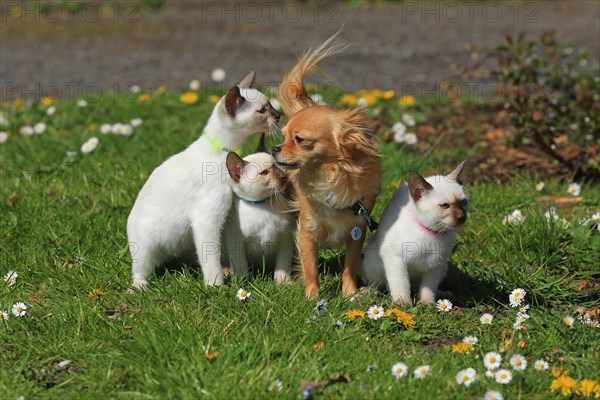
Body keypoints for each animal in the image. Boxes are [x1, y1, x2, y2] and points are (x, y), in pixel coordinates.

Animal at [127, 72, 282, 290]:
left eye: (270, 106)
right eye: (262, 111)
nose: (279, 115)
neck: (221, 150)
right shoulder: (206, 218)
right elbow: (212, 258)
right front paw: (216, 287)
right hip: (147, 249)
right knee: (140, 270)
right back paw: (139, 287)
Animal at [223, 137, 296, 282]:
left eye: (278, 166)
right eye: (264, 173)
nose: (284, 176)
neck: (262, 205)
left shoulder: (286, 238)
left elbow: (282, 264)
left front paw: (282, 282)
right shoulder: (236, 241)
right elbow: (240, 265)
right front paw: (241, 281)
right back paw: (227, 272)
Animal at [360, 161, 468, 304]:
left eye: (463, 202)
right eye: (445, 206)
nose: (462, 217)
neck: (433, 233)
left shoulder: (435, 264)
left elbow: (428, 287)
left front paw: (426, 304)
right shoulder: (396, 260)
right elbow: (401, 284)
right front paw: (402, 303)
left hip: (443, 268)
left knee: (418, 288)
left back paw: (444, 294)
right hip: (373, 263)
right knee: (378, 284)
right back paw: (369, 293)